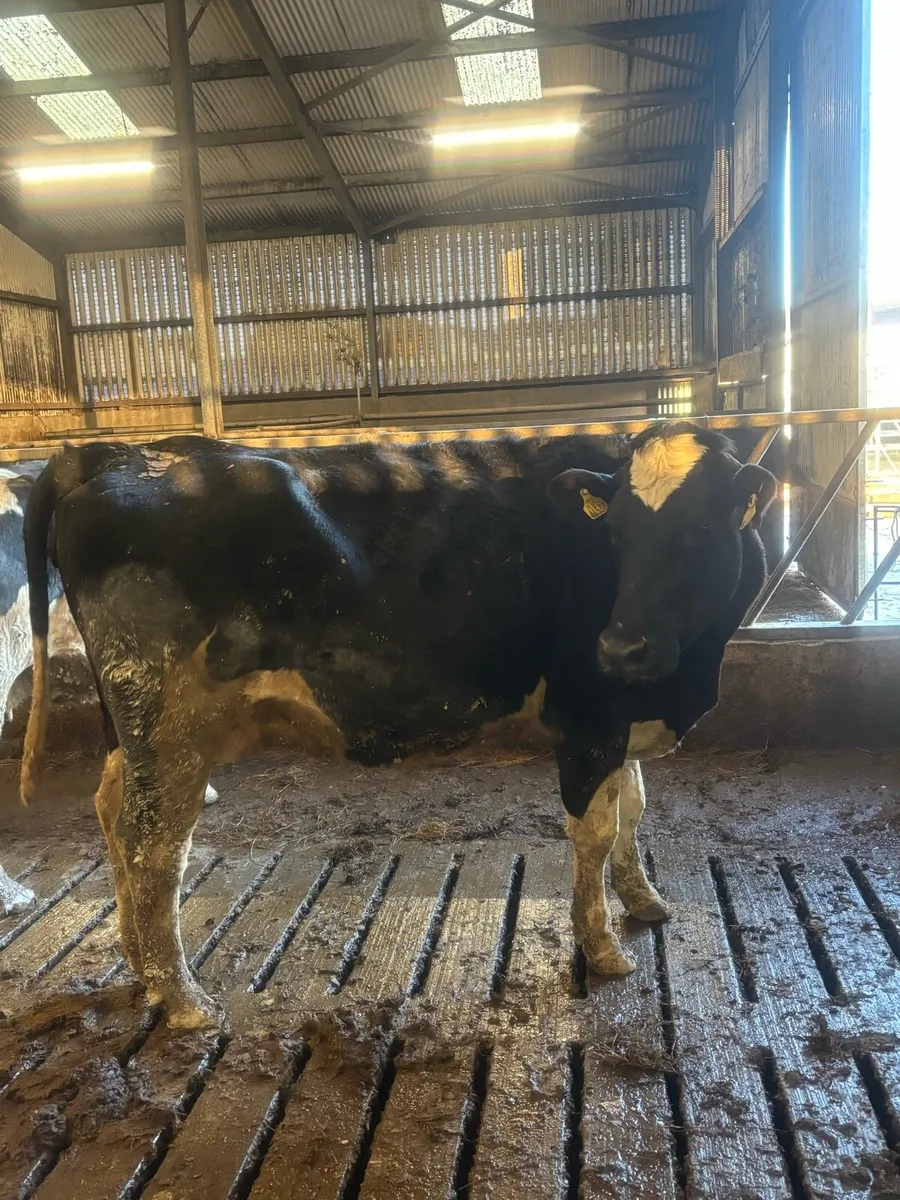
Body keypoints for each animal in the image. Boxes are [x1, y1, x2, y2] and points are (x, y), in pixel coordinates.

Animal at [19, 423, 776, 1028]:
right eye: (616, 535)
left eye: (700, 531)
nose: (619, 648)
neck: (684, 674)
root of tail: (114, 453)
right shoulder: (589, 715)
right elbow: (594, 831)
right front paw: (602, 946)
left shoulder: (626, 714)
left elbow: (633, 809)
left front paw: (644, 899)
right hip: (167, 716)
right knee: (153, 846)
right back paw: (180, 998)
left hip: (130, 720)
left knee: (112, 811)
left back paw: (137, 962)